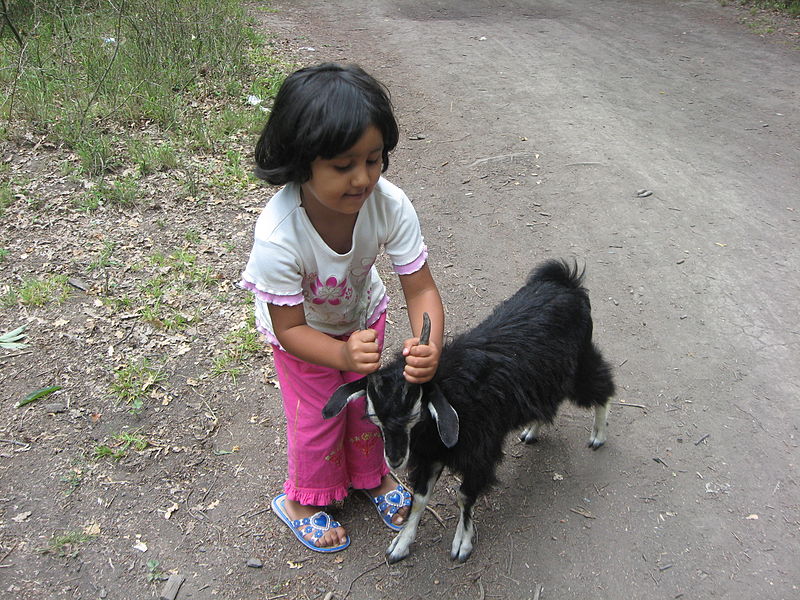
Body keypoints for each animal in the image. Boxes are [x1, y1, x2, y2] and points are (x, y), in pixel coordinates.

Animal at [322, 258, 616, 564]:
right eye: (375, 420)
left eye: (415, 415)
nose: (394, 460)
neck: (451, 396)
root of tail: (565, 283)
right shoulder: (431, 454)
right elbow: (420, 497)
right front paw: (401, 543)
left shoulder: (479, 453)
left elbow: (464, 495)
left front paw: (462, 542)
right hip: (547, 378)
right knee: (548, 403)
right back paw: (532, 430)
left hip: (579, 363)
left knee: (602, 384)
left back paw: (598, 435)